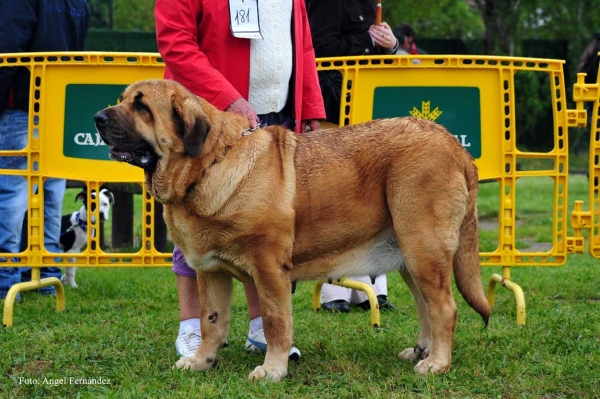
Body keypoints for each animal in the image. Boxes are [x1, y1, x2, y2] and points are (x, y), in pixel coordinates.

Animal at [92, 78, 488, 382]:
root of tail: (455, 145)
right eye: (122, 99)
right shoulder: (211, 272)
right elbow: (211, 321)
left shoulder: (268, 269)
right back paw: (421, 351)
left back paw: (436, 364)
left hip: (423, 248)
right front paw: (202, 361)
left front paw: (272, 370)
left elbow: (274, 321)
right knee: (426, 305)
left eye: (142, 106)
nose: (97, 117)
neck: (208, 165)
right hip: (411, 255)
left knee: (444, 307)